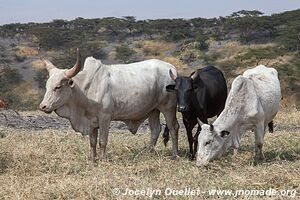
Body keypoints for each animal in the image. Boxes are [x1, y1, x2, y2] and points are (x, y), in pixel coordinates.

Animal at [39, 49, 180, 161]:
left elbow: (102, 141)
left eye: (58, 87)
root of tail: (171, 68)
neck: (84, 89)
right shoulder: (92, 121)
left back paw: (175, 154)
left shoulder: (105, 117)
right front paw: (92, 158)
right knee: (155, 129)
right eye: (47, 86)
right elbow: (92, 142)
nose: (43, 106)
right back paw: (147, 153)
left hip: (168, 108)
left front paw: (103, 159)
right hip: (153, 110)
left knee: (173, 127)